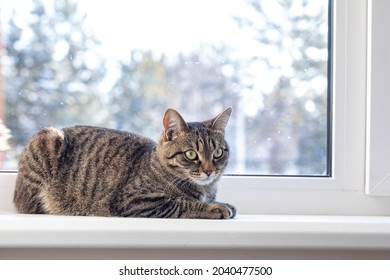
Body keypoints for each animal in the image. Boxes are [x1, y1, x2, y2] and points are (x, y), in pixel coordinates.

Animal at [13, 107, 236, 219]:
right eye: (191, 154)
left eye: (217, 152)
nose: (210, 170)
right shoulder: (138, 201)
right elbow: (182, 203)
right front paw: (214, 208)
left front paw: (220, 202)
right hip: (48, 140)